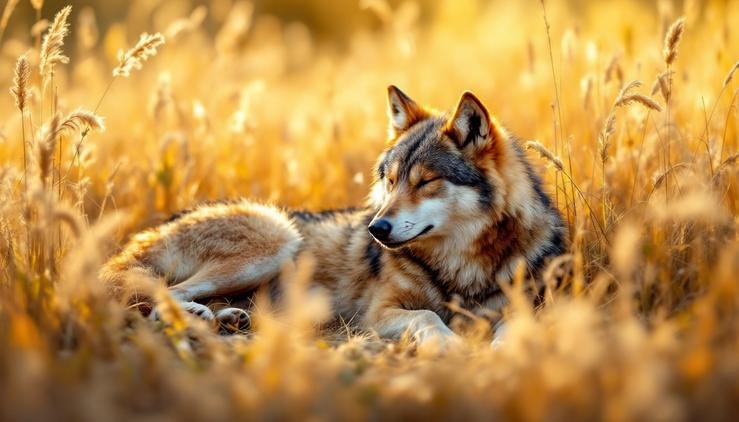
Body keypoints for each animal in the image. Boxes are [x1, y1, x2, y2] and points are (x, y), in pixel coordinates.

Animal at [102, 86, 566, 345]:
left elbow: (514, 328)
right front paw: (449, 345)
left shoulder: (529, 306)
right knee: (162, 293)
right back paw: (197, 317)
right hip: (277, 237)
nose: (376, 228)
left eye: (426, 181)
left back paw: (225, 318)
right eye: (391, 180)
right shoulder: (378, 314)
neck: (459, 264)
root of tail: (144, 236)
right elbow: (429, 317)